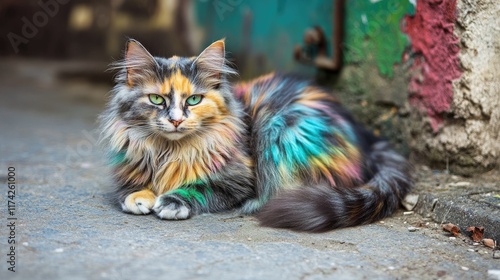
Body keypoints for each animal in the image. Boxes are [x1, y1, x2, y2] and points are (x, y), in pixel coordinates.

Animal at [99, 39, 412, 232]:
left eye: (194, 100)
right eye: (156, 99)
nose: (176, 120)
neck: (169, 151)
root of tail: (367, 138)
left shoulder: (237, 180)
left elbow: (202, 188)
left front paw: (171, 202)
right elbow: (131, 188)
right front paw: (139, 197)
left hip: (276, 128)